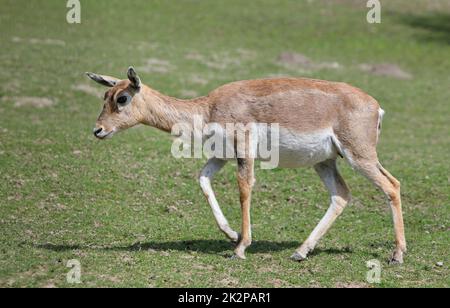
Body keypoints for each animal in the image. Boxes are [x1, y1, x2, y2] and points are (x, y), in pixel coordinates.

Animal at [86, 66, 406, 264]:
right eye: (105, 95)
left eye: (122, 98)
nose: (98, 130)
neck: (207, 109)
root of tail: (375, 106)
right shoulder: (221, 155)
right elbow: (203, 180)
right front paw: (232, 235)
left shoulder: (244, 151)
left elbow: (244, 188)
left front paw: (240, 248)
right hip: (326, 162)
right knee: (341, 195)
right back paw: (300, 252)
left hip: (359, 155)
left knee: (391, 185)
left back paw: (397, 255)